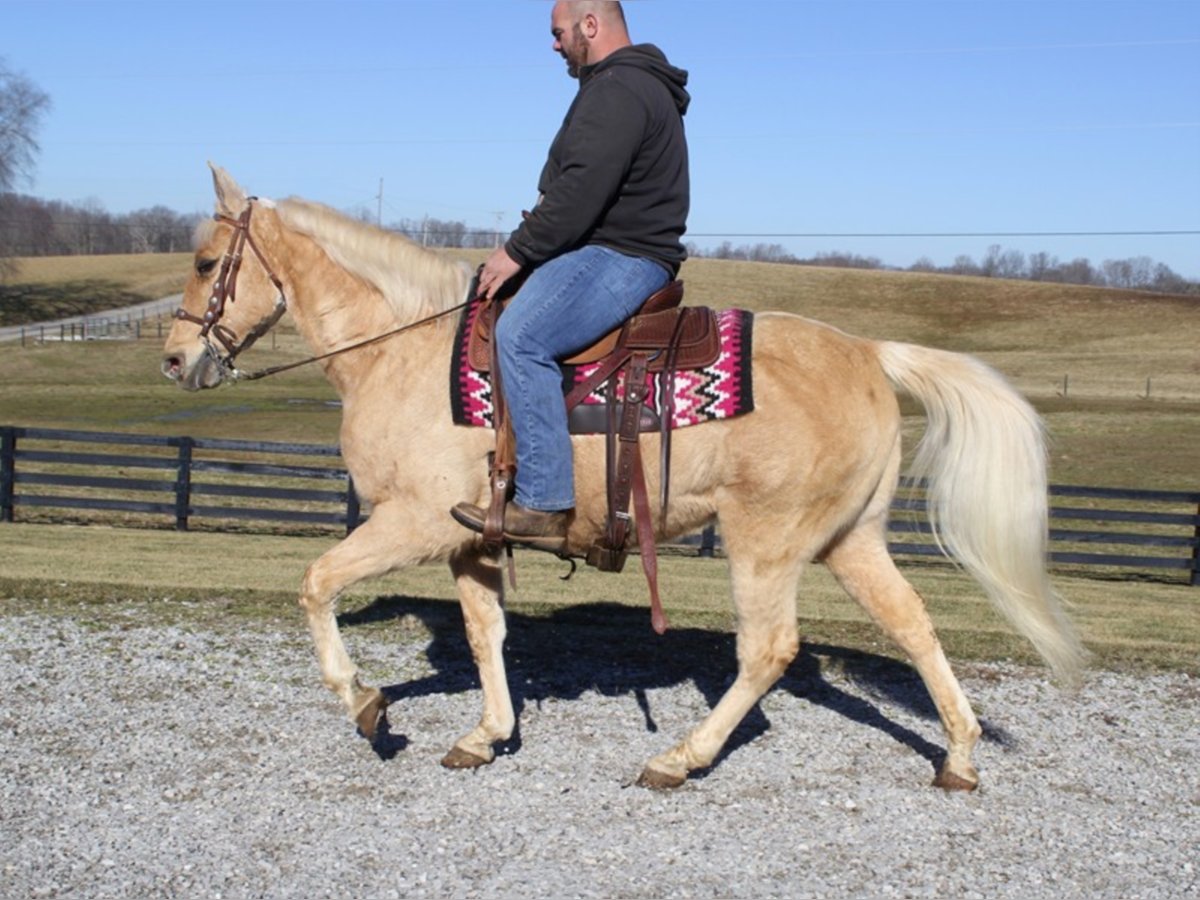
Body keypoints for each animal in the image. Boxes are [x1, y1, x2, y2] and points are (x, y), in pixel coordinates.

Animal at [162, 165, 1089, 792]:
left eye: (207, 262)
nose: (175, 359)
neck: (404, 348)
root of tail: (868, 353)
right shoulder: (471, 541)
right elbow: (486, 635)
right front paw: (486, 734)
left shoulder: (413, 522)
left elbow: (316, 583)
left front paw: (363, 702)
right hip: (850, 541)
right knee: (913, 626)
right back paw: (959, 756)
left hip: (766, 545)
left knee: (768, 650)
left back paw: (678, 758)